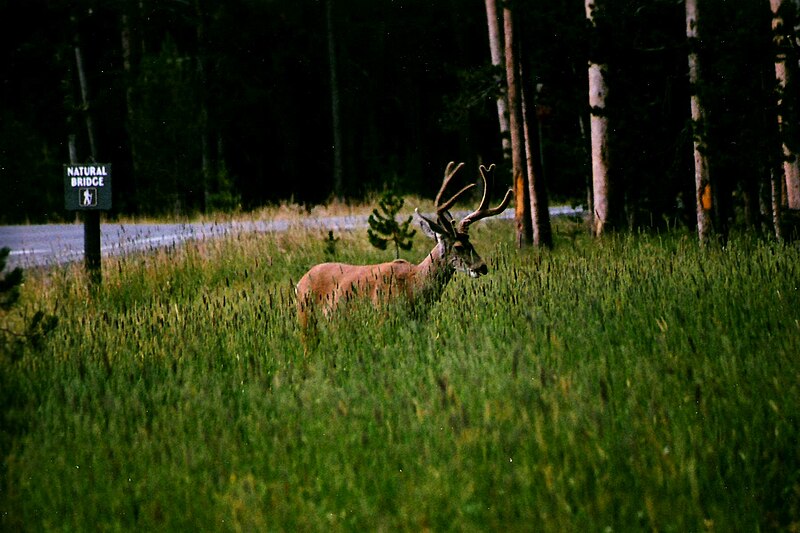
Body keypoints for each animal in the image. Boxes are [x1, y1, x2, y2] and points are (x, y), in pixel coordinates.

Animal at [296, 161, 512, 328]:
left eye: (471, 242)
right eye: (458, 246)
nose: (482, 267)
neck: (413, 284)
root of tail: (300, 282)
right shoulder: (382, 317)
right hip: (305, 319)